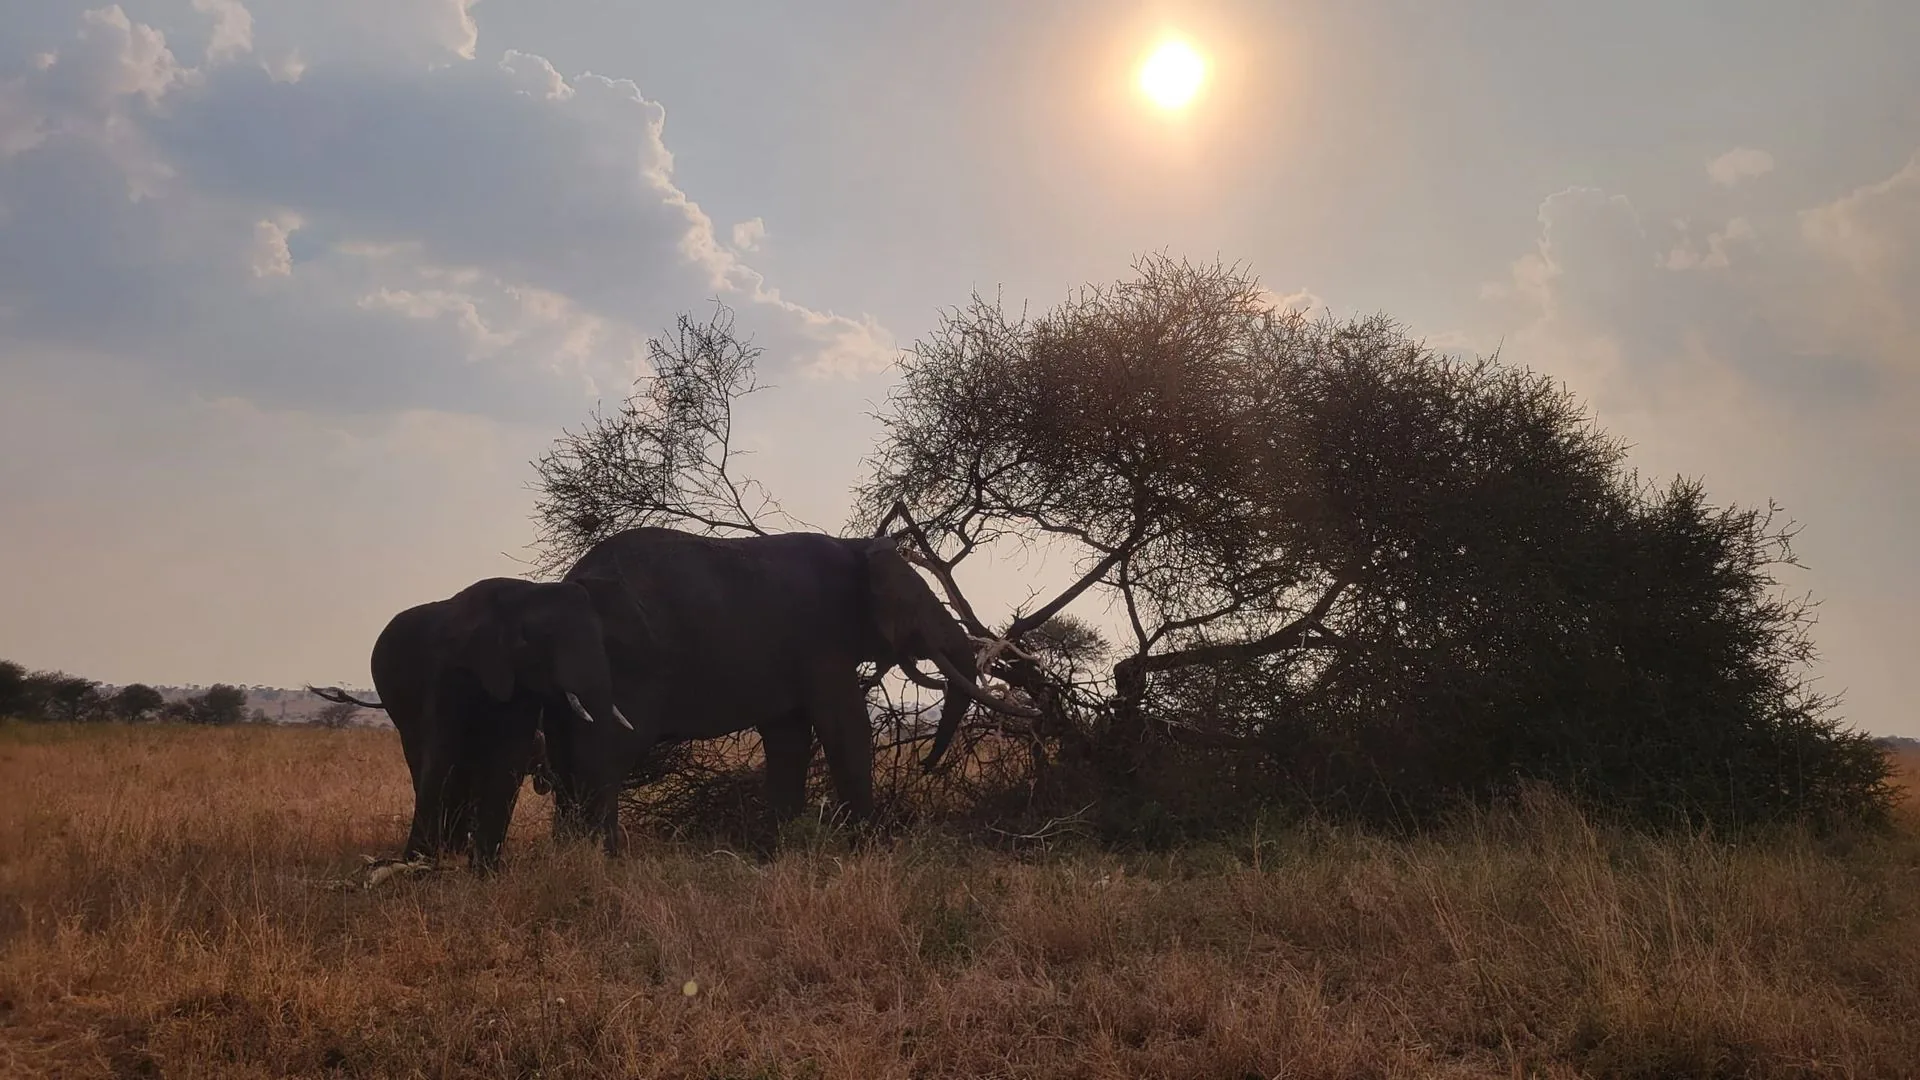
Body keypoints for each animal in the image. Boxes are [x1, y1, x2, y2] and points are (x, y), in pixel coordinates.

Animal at [311, 576, 629, 870]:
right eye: (546, 638)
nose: (611, 856)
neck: (522, 594)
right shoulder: (450, 670)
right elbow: (442, 753)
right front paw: (417, 864)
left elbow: (508, 758)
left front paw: (485, 872)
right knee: (422, 757)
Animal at [541, 527, 1039, 854]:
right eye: (916, 603)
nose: (924, 766)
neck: (855, 546)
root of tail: (568, 581)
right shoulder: (821, 640)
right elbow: (845, 728)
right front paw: (872, 849)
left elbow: (789, 738)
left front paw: (779, 852)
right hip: (625, 662)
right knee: (605, 754)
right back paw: (604, 859)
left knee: (569, 758)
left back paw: (570, 858)